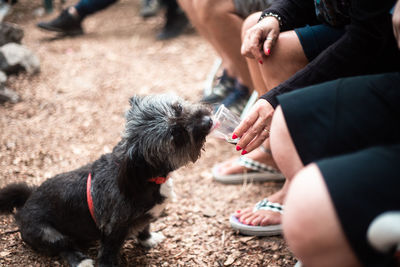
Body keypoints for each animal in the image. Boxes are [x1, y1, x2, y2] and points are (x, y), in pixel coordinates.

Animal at [0, 94, 214, 267]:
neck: (142, 177)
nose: (209, 120)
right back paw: (81, 260)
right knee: (64, 247)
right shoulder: (113, 232)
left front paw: (148, 239)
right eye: (176, 134)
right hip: (49, 234)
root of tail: (26, 203)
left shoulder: (143, 219)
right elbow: (108, 256)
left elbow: (145, 227)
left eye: (178, 107)